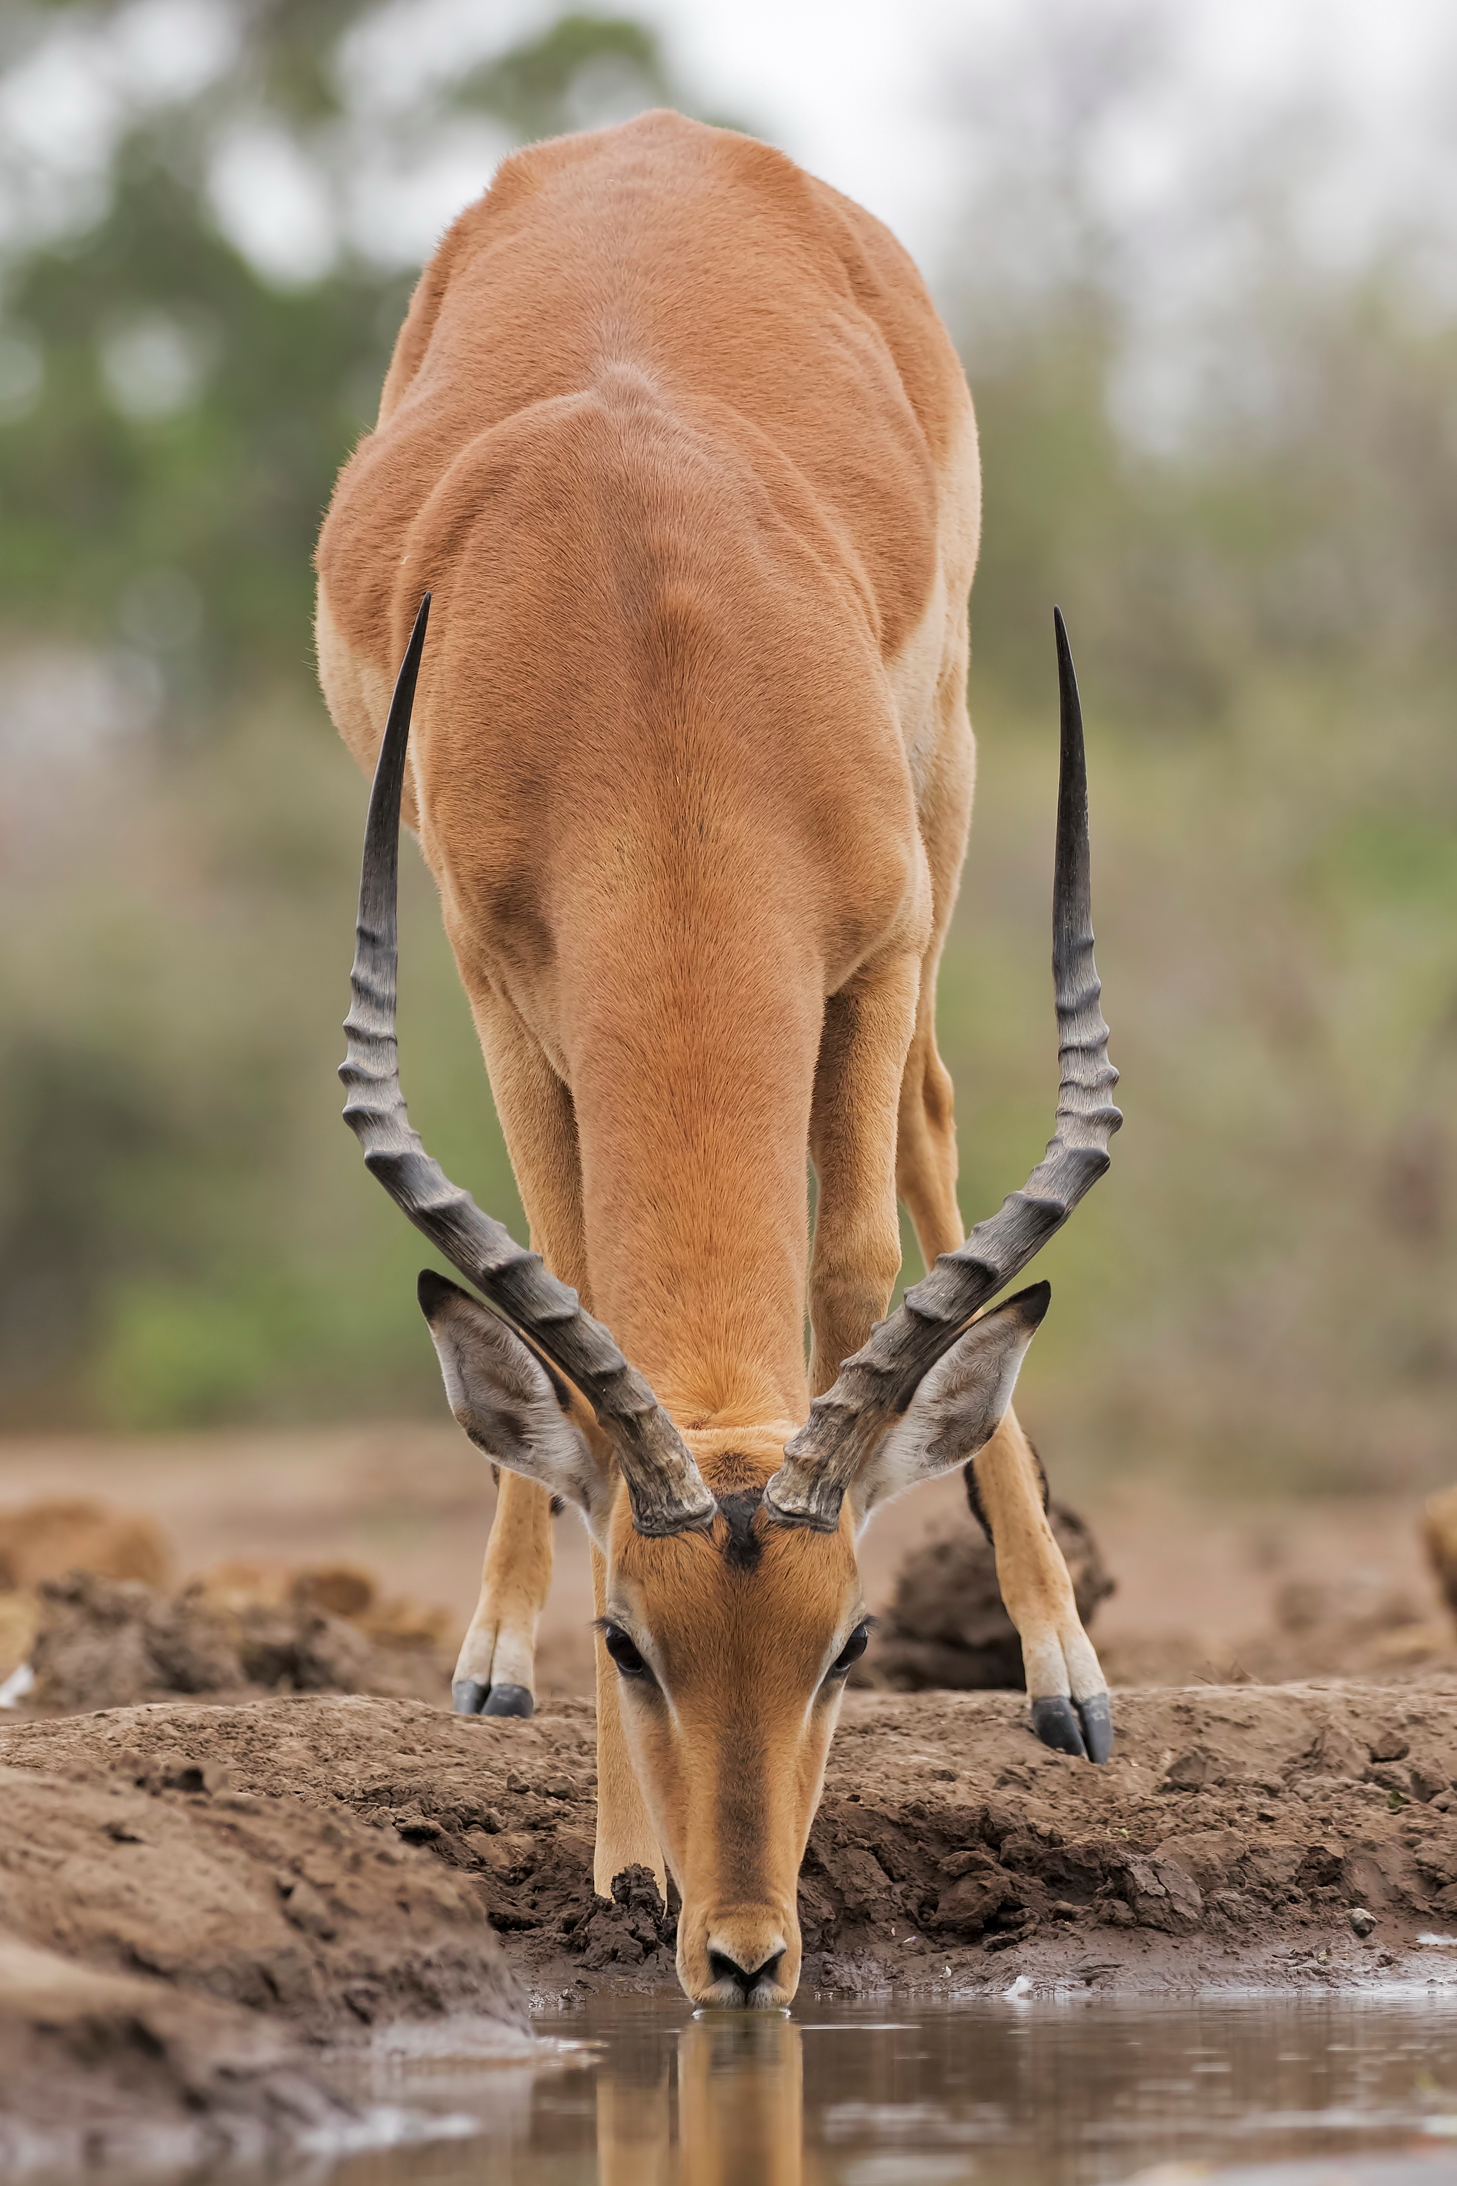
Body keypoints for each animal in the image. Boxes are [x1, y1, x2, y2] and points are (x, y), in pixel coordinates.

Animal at [317, 110, 1120, 2010]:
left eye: (846, 1644)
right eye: (627, 1638)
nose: (747, 1954)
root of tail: (650, 133)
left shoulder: (874, 940)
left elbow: (852, 1270)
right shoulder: (494, 969)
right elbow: (576, 1276)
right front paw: (622, 1857)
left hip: (951, 786)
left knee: (929, 1136)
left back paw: (1066, 1679)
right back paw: (485, 1665)